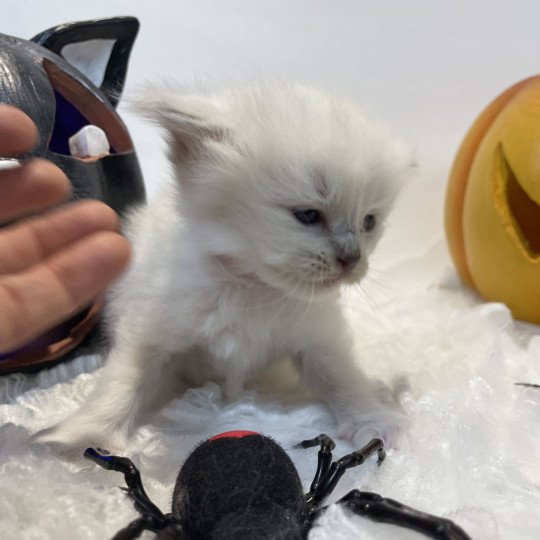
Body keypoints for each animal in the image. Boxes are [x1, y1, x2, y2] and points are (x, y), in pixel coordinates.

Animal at [38, 81, 412, 452]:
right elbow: (127, 377)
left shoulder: (315, 335)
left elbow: (339, 374)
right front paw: (80, 436)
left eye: (368, 222)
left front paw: (373, 419)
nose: (352, 260)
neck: (253, 286)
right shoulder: (153, 326)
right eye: (308, 215)